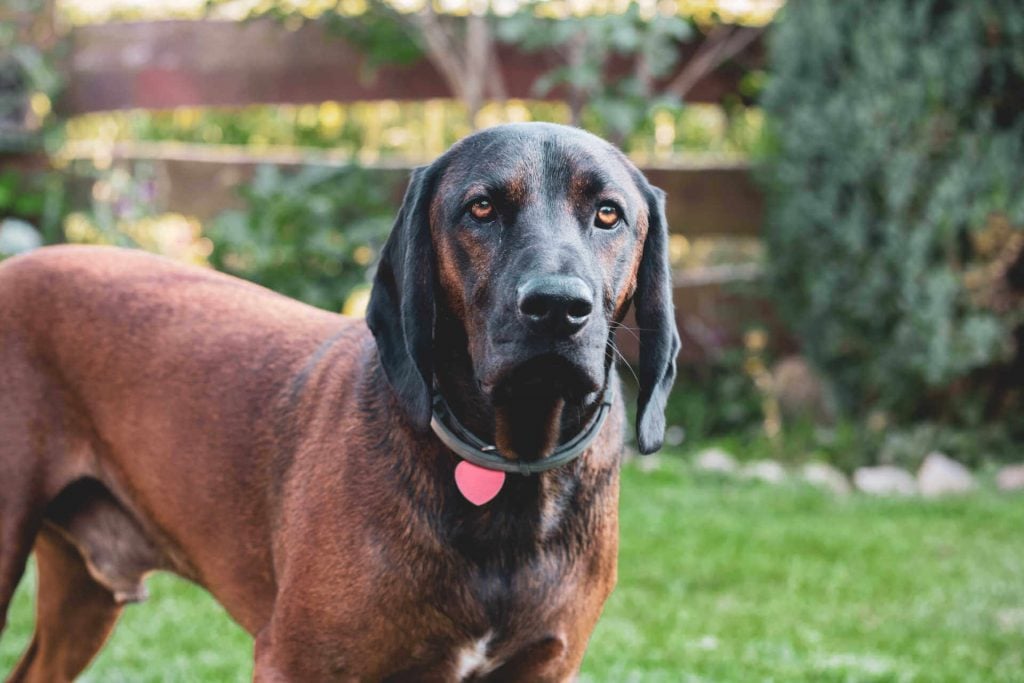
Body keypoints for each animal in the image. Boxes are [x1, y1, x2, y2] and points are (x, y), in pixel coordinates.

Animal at [0, 124, 679, 683]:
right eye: (481, 207)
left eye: (609, 214)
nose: (558, 307)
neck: (505, 471)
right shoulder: (297, 661)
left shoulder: (543, 666)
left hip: (84, 594)